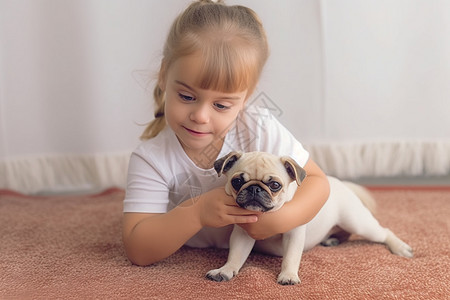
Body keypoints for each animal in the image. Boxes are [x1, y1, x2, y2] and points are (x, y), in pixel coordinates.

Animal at [206, 151, 414, 284]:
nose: (254, 189)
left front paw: (288, 275)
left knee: (384, 232)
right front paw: (225, 270)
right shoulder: (242, 235)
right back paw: (331, 240)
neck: (266, 214)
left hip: (358, 223)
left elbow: (291, 257)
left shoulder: (294, 235)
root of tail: (341, 184)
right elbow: (236, 255)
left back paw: (400, 248)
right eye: (237, 181)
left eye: (274, 185)